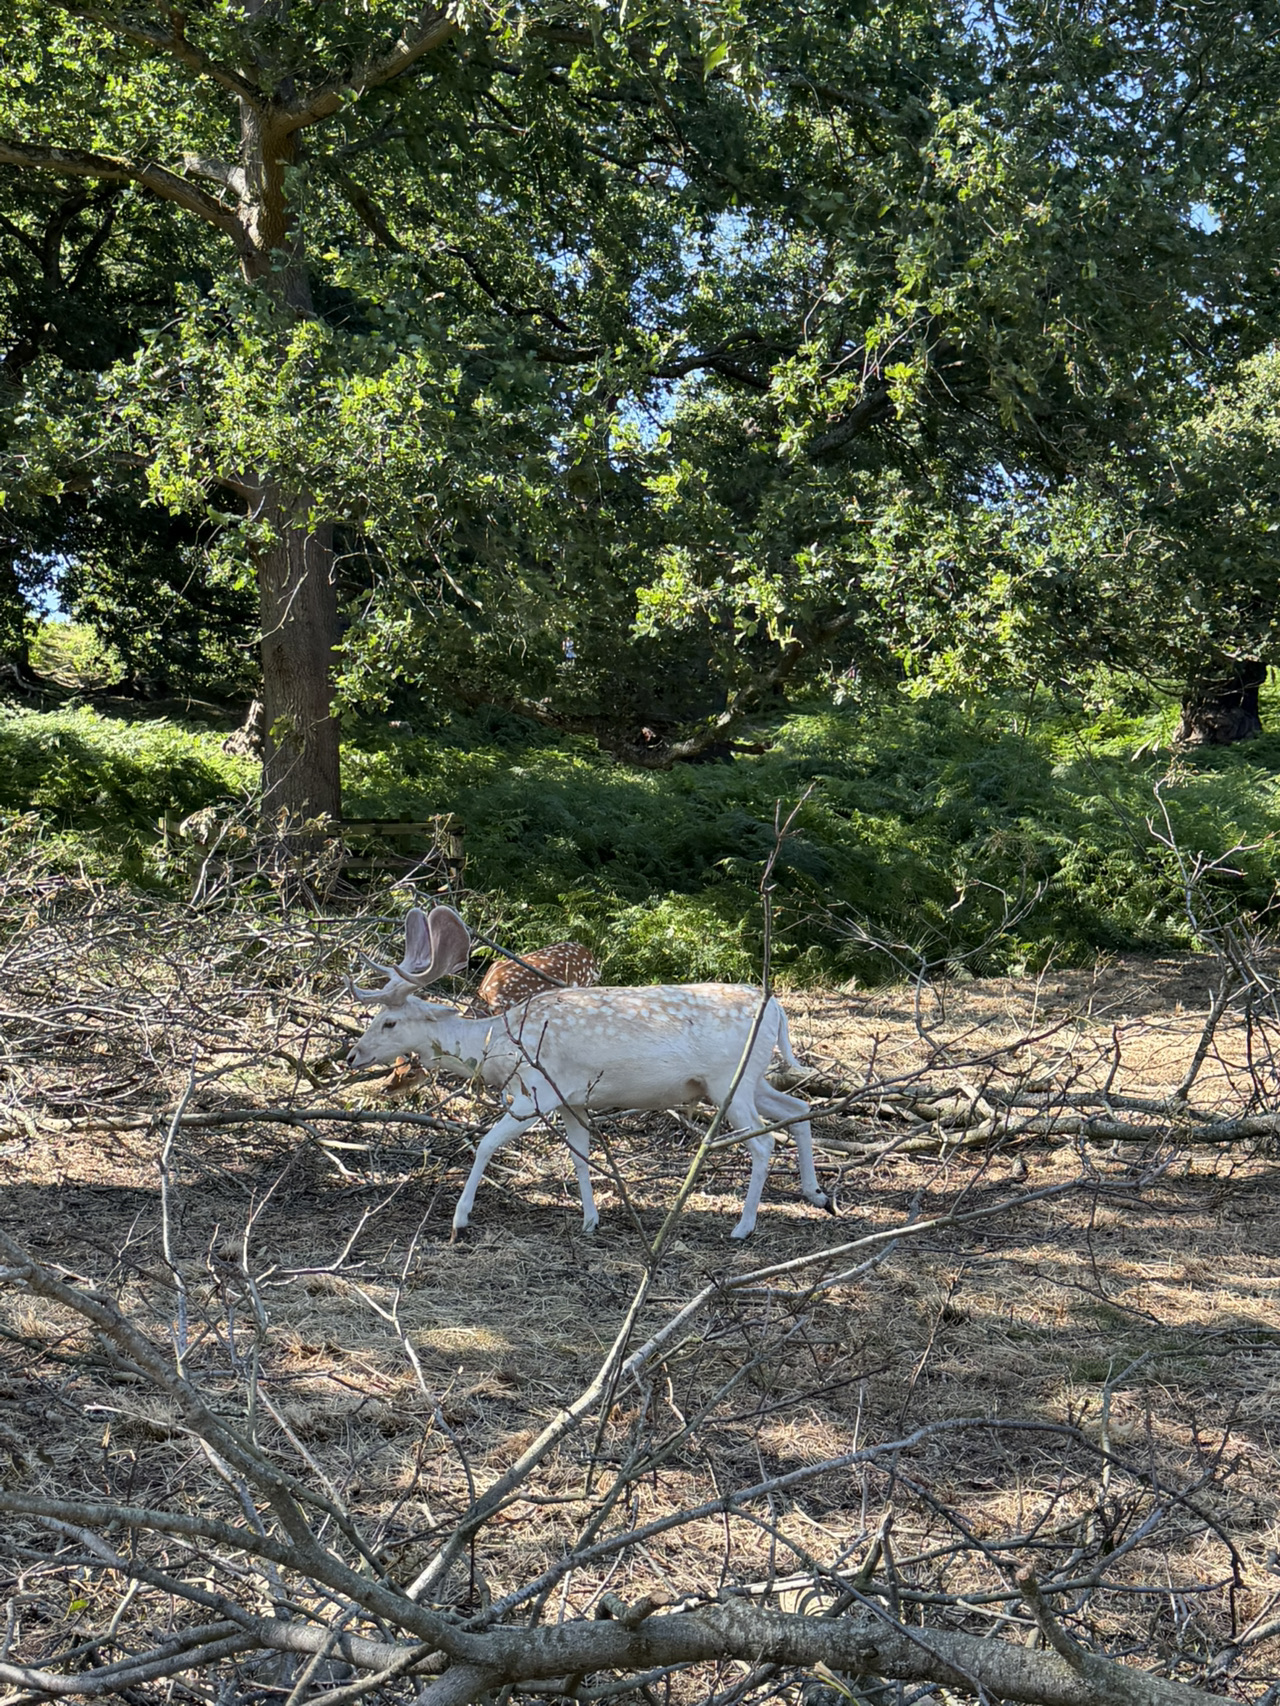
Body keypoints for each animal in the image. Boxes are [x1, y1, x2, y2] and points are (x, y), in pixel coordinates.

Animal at [345, 906, 831, 1239]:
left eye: (390, 1023)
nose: (353, 1056)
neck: (499, 1046)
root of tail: (779, 1010)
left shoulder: (537, 1092)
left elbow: (485, 1144)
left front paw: (460, 1218)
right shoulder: (573, 1099)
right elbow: (580, 1155)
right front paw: (590, 1219)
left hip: (728, 1078)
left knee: (765, 1142)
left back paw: (743, 1227)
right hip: (752, 1078)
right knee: (798, 1107)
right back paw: (816, 1193)